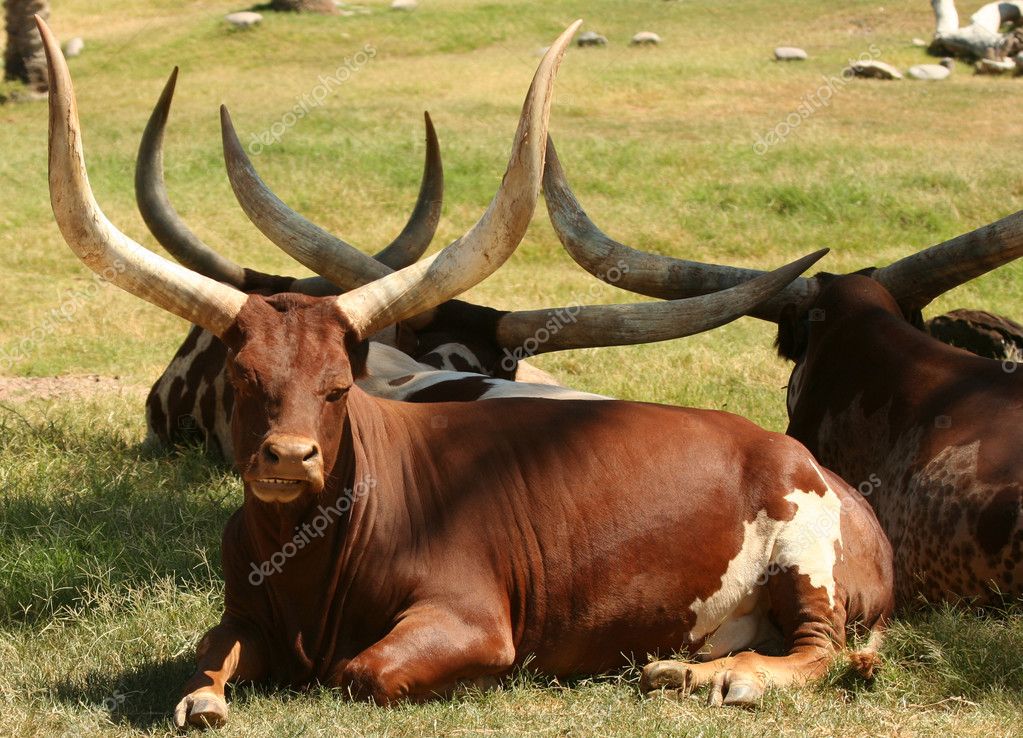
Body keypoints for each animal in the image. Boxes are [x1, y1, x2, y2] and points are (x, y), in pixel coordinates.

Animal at [38, 18, 893, 728]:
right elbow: (206, 657)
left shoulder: (468, 621)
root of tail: (825, 473)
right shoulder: (241, 618)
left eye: (336, 388)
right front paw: (205, 701)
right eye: (244, 377)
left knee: (818, 646)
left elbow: (361, 671)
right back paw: (684, 668)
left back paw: (720, 678)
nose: (288, 458)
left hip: (805, 562)